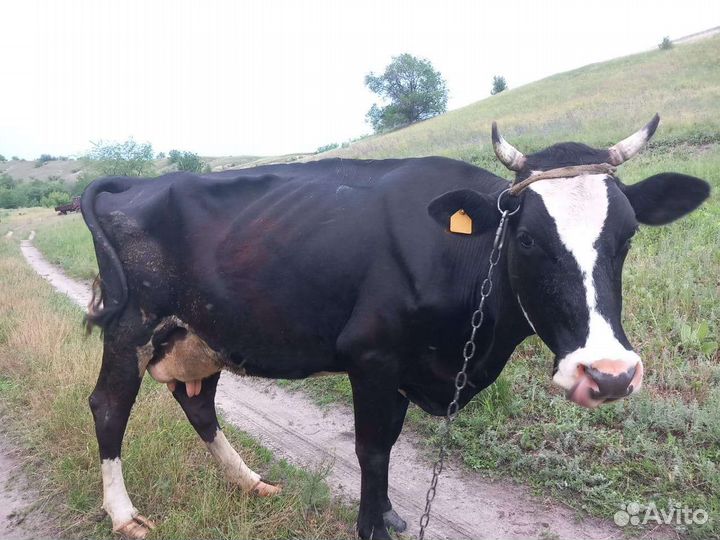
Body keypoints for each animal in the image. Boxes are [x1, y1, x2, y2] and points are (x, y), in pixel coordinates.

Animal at [81, 115, 709, 539]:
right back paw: (125, 515)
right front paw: (372, 525)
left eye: (628, 235)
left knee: (198, 403)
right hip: (131, 326)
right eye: (527, 238)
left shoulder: (408, 367)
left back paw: (250, 481)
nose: (609, 374)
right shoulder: (373, 357)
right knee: (109, 405)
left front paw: (386, 514)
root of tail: (136, 183)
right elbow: (372, 448)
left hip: (204, 333)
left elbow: (390, 440)